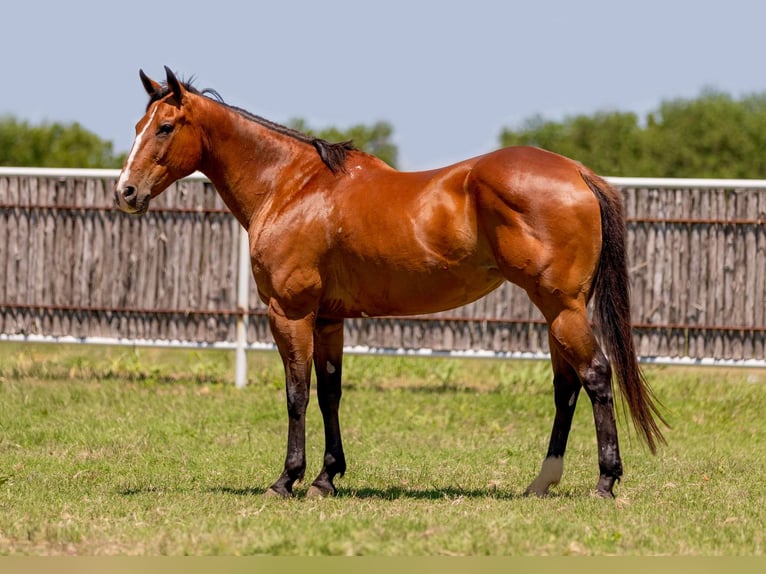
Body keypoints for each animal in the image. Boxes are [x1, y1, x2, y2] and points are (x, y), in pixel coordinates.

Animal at [114, 66, 664, 500]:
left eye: (165, 127)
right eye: (139, 125)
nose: (126, 191)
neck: (291, 186)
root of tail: (576, 171)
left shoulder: (290, 313)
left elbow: (297, 393)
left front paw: (287, 480)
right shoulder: (328, 318)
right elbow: (330, 392)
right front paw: (326, 478)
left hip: (563, 307)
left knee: (596, 376)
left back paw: (605, 482)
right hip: (555, 311)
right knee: (566, 386)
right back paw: (541, 483)